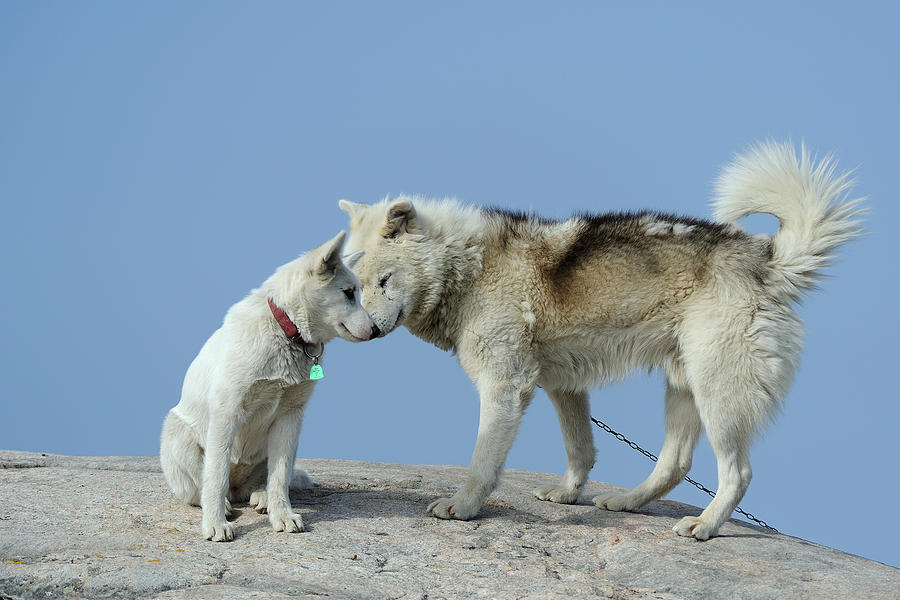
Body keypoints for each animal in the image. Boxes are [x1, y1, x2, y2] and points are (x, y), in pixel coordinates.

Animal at [160, 230, 374, 540]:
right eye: (348, 293)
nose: (377, 330)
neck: (286, 332)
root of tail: (237, 488)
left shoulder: (290, 417)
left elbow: (280, 475)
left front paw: (281, 515)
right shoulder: (226, 414)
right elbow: (215, 476)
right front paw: (215, 524)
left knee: (266, 481)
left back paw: (261, 498)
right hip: (178, 433)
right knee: (200, 488)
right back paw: (221, 505)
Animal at [340, 143, 864, 540]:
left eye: (382, 280)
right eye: (351, 288)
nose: (366, 331)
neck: (470, 266)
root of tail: (765, 259)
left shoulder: (505, 388)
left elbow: (483, 461)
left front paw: (463, 506)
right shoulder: (562, 386)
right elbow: (581, 449)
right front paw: (569, 496)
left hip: (718, 395)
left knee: (736, 474)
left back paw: (704, 526)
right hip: (684, 389)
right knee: (676, 464)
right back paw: (628, 501)